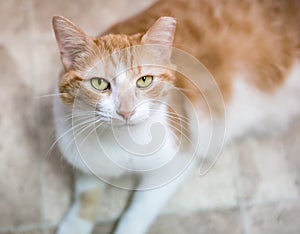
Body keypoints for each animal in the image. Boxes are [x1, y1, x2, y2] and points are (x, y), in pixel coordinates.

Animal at [52, 0, 300, 234]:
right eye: (99, 83)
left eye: (144, 80)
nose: (126, 111)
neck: (119, 142)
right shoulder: (84, 156)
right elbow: (85, 197)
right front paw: (73, 226)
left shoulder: (175, 162)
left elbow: (139, 211)